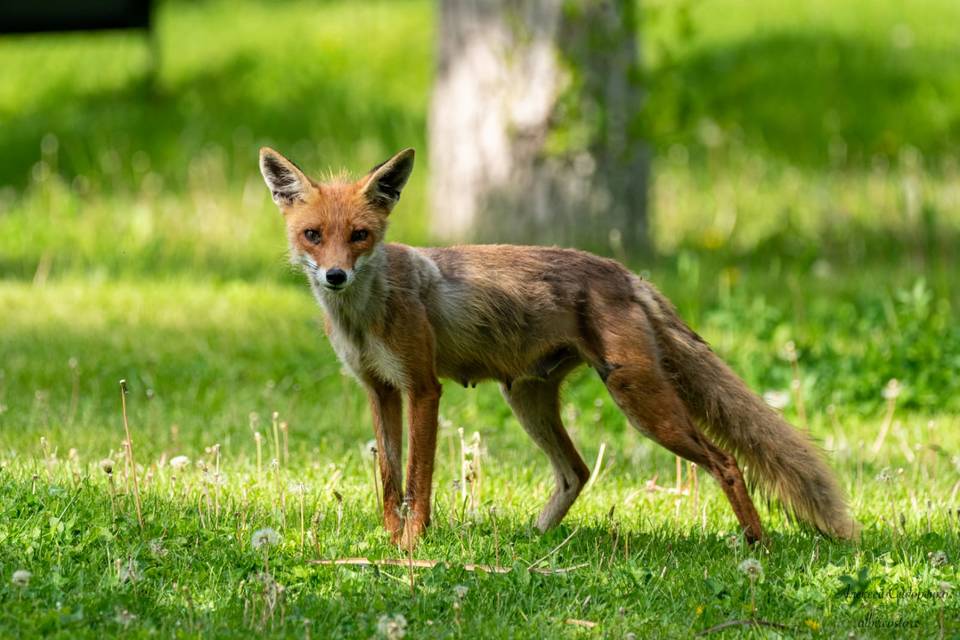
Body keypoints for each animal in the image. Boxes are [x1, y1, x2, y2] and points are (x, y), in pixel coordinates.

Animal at [258, 145, 860, 544]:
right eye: (313, 235)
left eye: (360, 235)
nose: (335, 275)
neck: (364, 318)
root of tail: (625, 273)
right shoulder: (379, 389)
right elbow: (388, 477)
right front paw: (387, 543)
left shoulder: (423, 389)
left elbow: (417, 479)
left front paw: (411, 547)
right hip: (528, 400)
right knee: (578, 471)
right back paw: (536, 537)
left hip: (639, 400)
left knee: (727, 460)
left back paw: (755, 543)